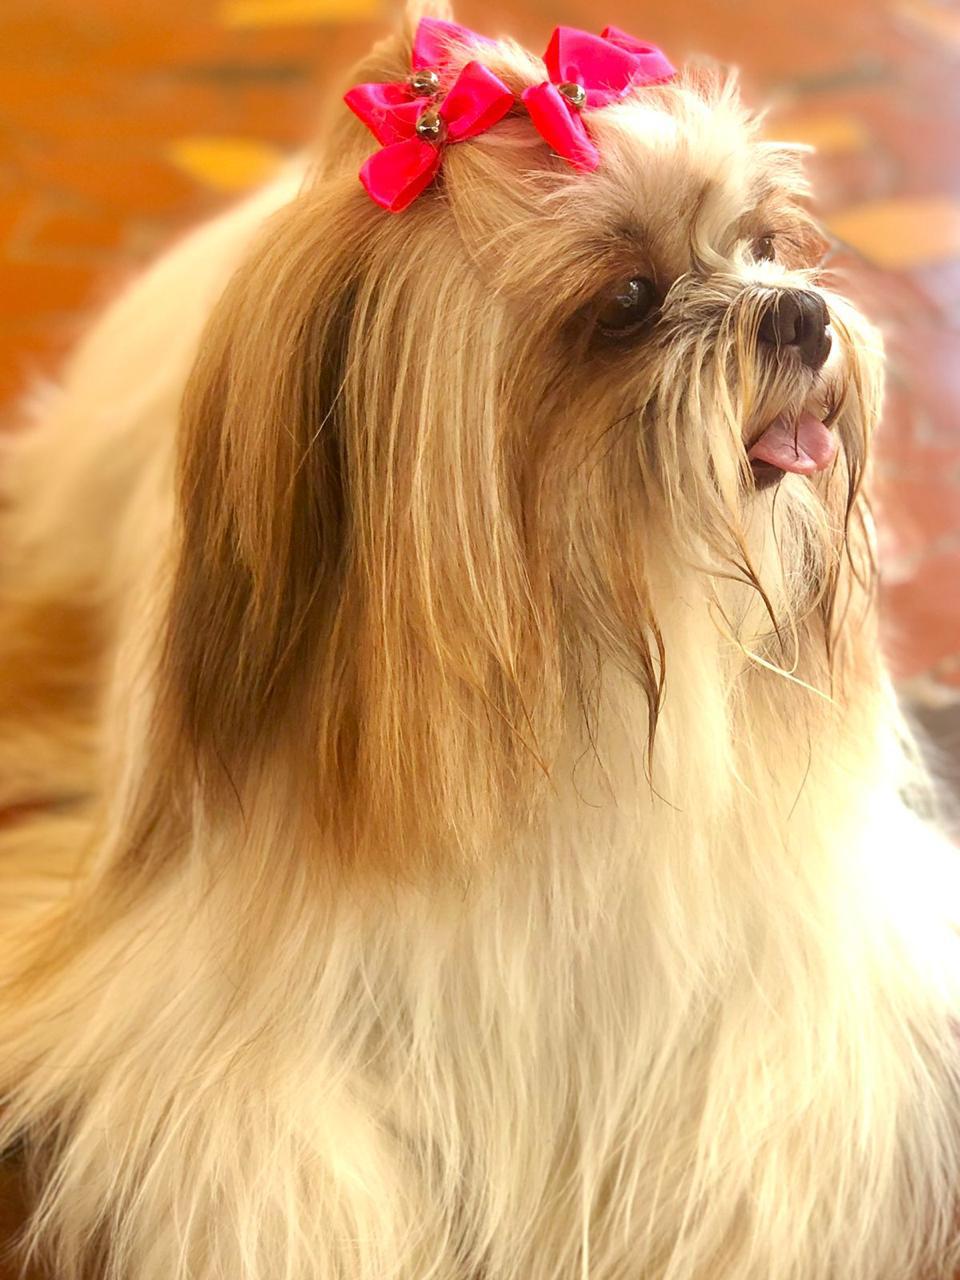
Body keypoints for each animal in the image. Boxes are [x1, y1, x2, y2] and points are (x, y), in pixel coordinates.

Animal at [2, 6, 960, 1278]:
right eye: (628, 297)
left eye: (766, 242)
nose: (799, 312)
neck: (589, 679)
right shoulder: (198, 1015)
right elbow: (279, 1162)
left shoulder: (815, 988)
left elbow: (752, 1130)